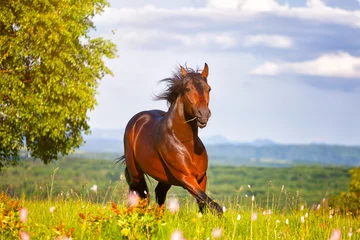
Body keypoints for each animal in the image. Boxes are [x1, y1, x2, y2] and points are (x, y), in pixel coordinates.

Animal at [119, 62, 224, 215]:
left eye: (208, 88)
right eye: (187, 89)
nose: (203, 114)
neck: (185, 143)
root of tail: (136, 120)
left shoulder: (201, 178)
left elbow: (204, 204)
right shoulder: (186, 178)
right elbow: (214, 206)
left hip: (165, 178)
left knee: (159, 194)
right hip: (135, 173)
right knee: (137, 195)